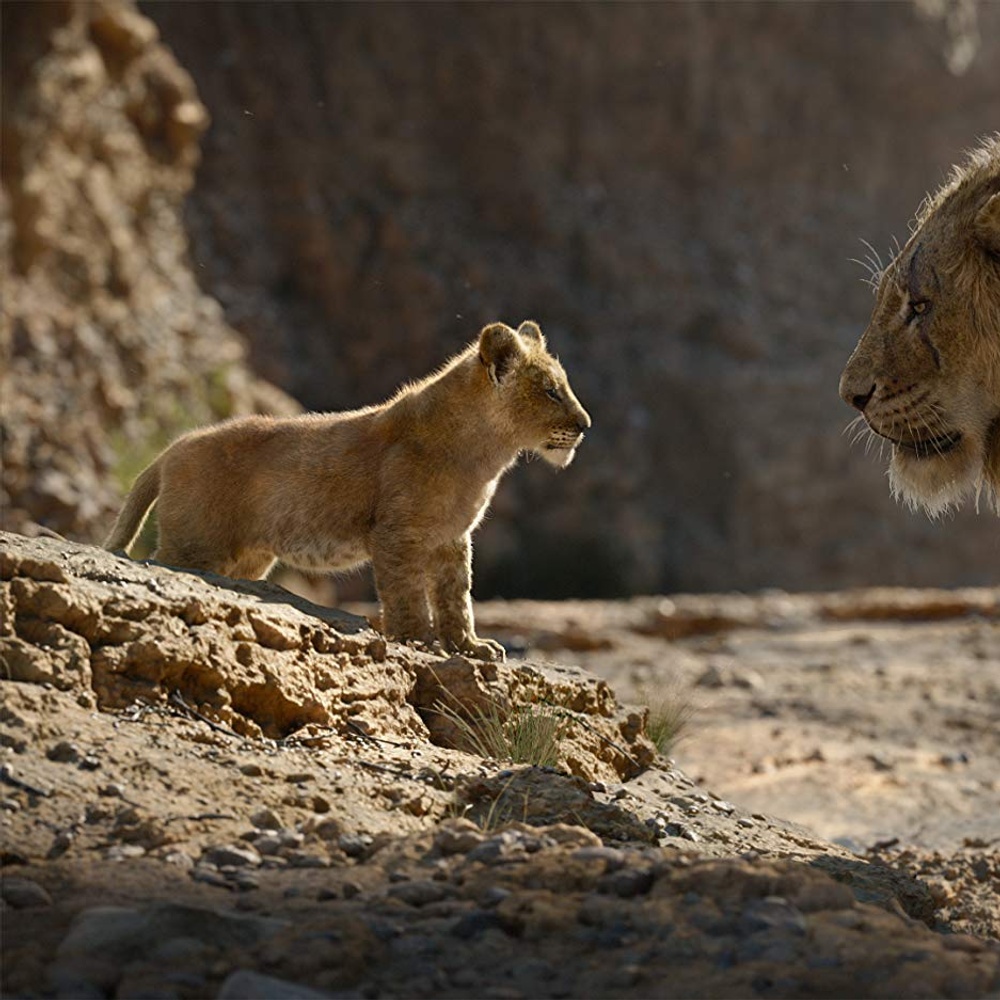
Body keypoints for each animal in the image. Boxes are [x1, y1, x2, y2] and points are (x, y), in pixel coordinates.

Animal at [105, 320, 591, 661]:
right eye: (551, 391)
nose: (586, 425)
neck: (485, 453)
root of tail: (171, 448)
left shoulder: (453, 538)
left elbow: (457, 595)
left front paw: (470, 647)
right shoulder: (396, 532)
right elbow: (407, 593)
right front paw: (418, 640)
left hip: (246, 558)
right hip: (195, 545)